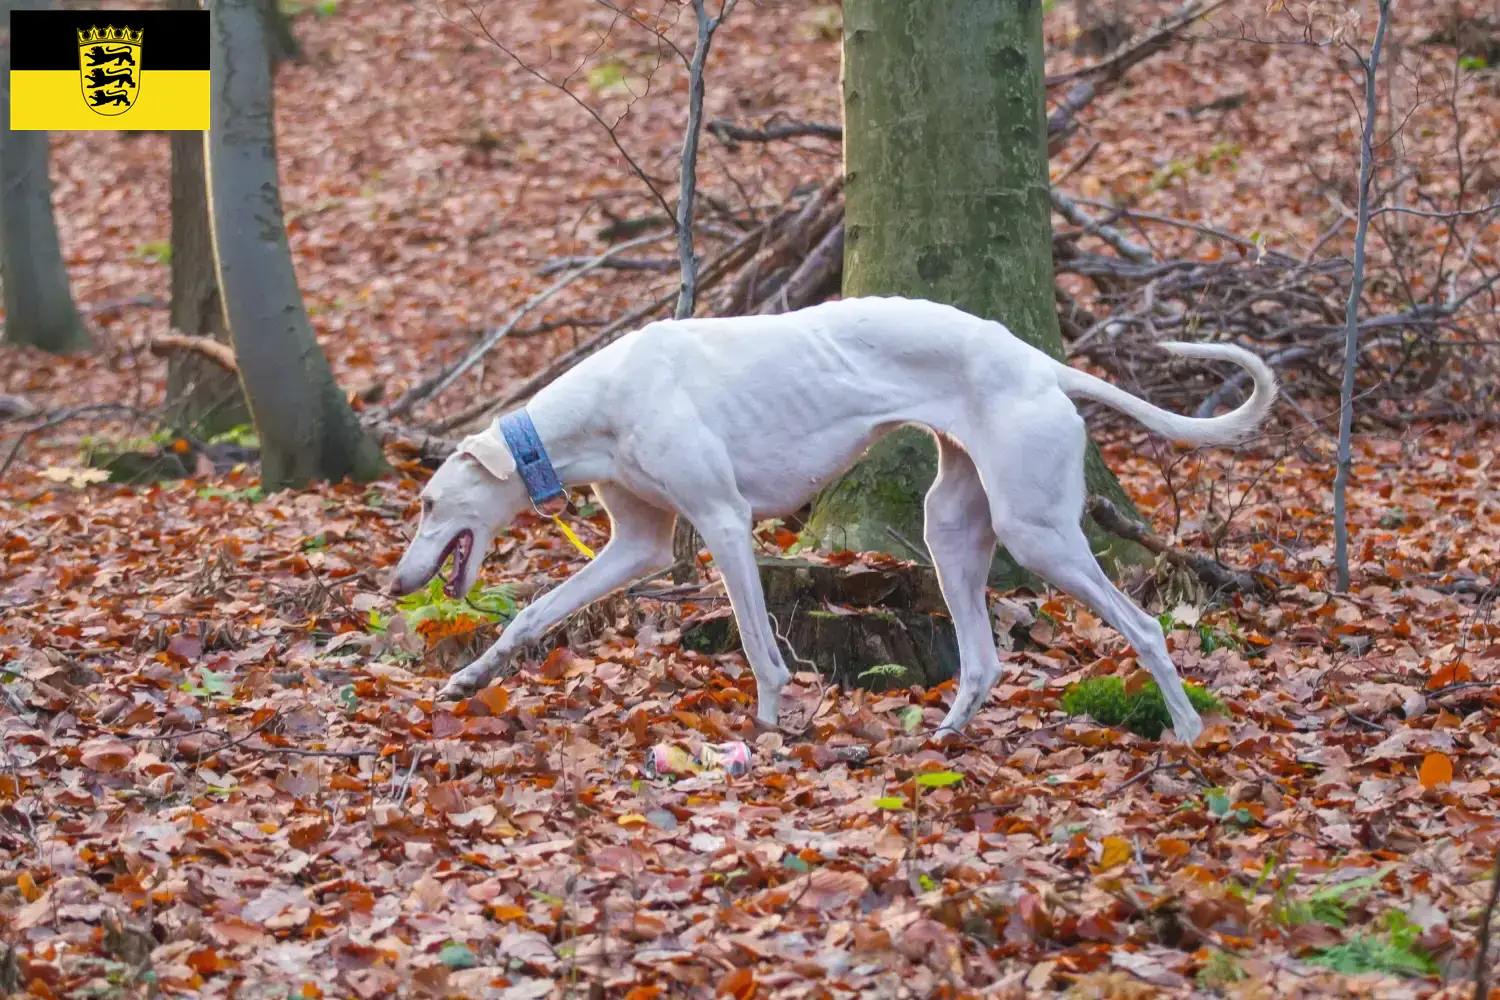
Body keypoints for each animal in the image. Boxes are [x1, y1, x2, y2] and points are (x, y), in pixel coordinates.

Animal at [390, 296, 1278, 743]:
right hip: (951, 530)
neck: (602, 406)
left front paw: (768, 725)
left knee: (1147, 626)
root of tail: (1037, 360)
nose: (398, 584)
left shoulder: (723, 520)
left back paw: (1188, 729)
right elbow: (533, 612)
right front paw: (469, 678)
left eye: (430, 503)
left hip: (1040, 533)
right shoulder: (637, 545)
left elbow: (758, 644)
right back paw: (944, 734)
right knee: (985, 658)